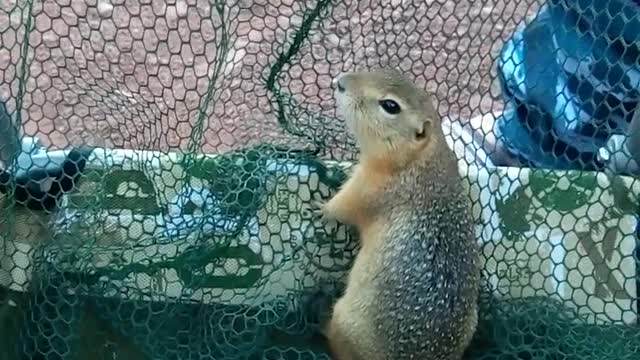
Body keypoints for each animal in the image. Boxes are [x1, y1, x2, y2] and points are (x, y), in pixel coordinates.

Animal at [316, 69, 480, 358]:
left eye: (390, 106)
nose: (340, 82)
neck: (420, 159)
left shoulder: (367, 188)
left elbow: (343, 206)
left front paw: (320, 207)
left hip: (344, 320)